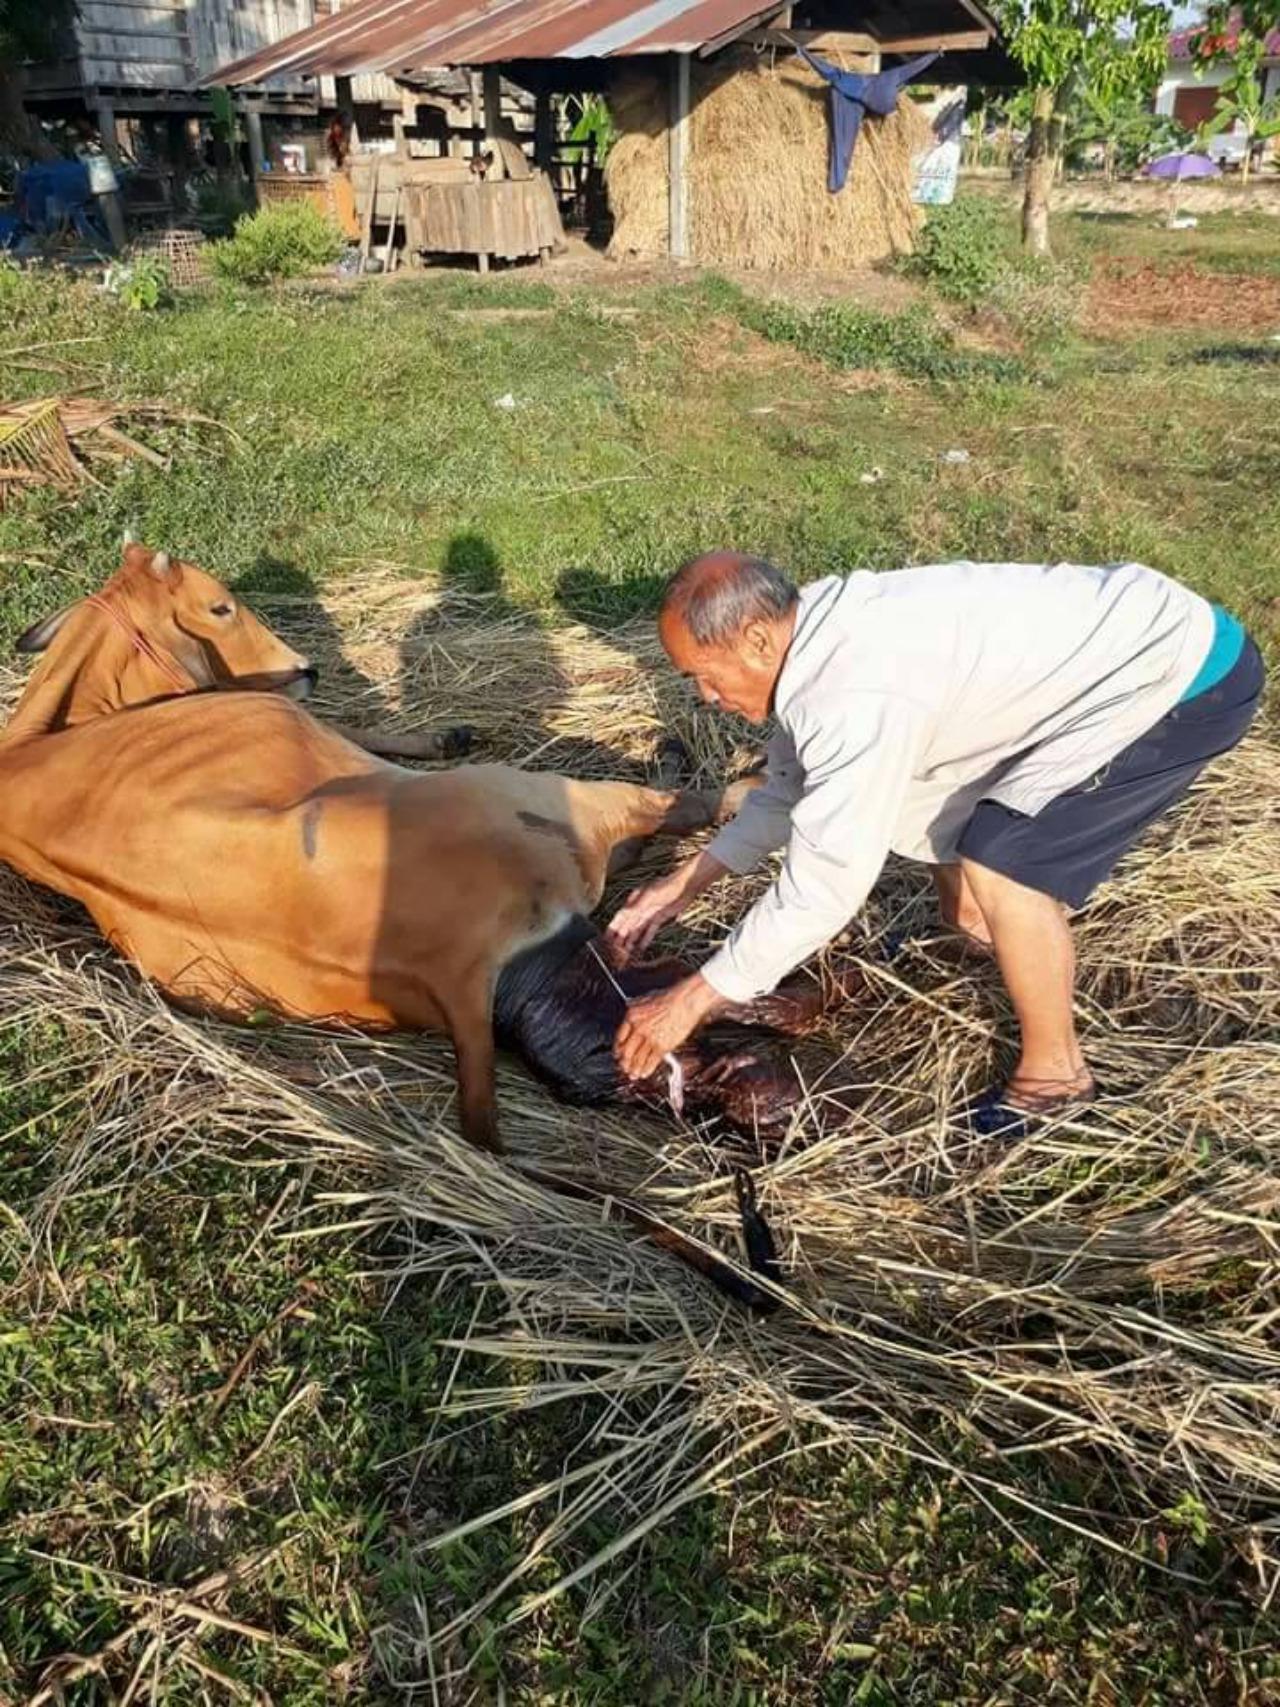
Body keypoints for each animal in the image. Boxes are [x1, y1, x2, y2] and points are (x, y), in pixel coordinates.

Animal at [0, 545, 819, 1167]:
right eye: (220, 606)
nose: (305, 669)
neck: (43, 739)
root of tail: (463, 974)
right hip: (549, 797)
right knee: (687, 806)